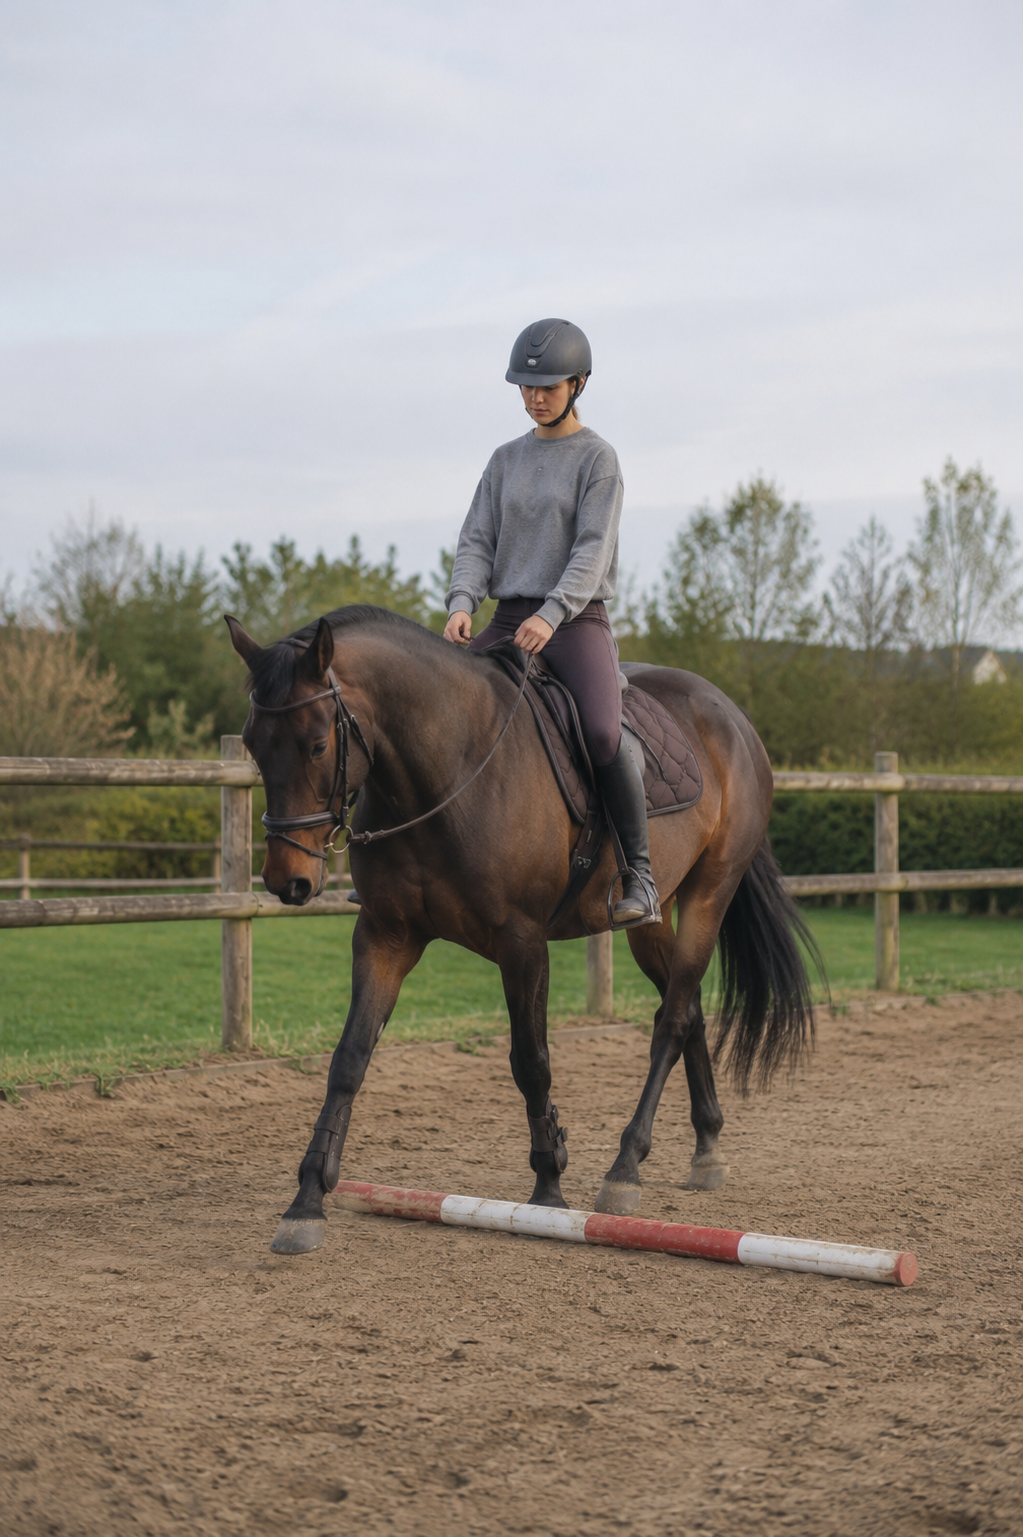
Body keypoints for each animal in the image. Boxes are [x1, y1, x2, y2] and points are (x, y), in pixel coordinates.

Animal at [225, 605, 819, 1256]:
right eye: (252, 744)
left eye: (316, 744)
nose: (287, 880)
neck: (447, 769)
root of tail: (731, 715)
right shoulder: (385, 936)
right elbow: (348, 1060)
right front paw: (306, 1201)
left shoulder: (523, 942)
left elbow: (531, 1060)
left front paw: (549, 1184)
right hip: (651, 921)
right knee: (686, 1010)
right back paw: (707, 1148)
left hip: (711, 892)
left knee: (669, 1024)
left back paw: (624, 1168)